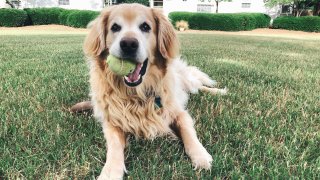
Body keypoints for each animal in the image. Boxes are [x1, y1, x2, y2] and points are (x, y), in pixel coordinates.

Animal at [72, 3, 226, 179]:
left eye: (145, 27)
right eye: (115, 27)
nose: (128, 44)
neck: (136, 94)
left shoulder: (179, 112)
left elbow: (188, 131)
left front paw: (200, 155)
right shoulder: (112, 121)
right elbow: (114, 145)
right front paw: (110, 171)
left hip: (186, 81)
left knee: (199, 86)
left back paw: (219, 92)